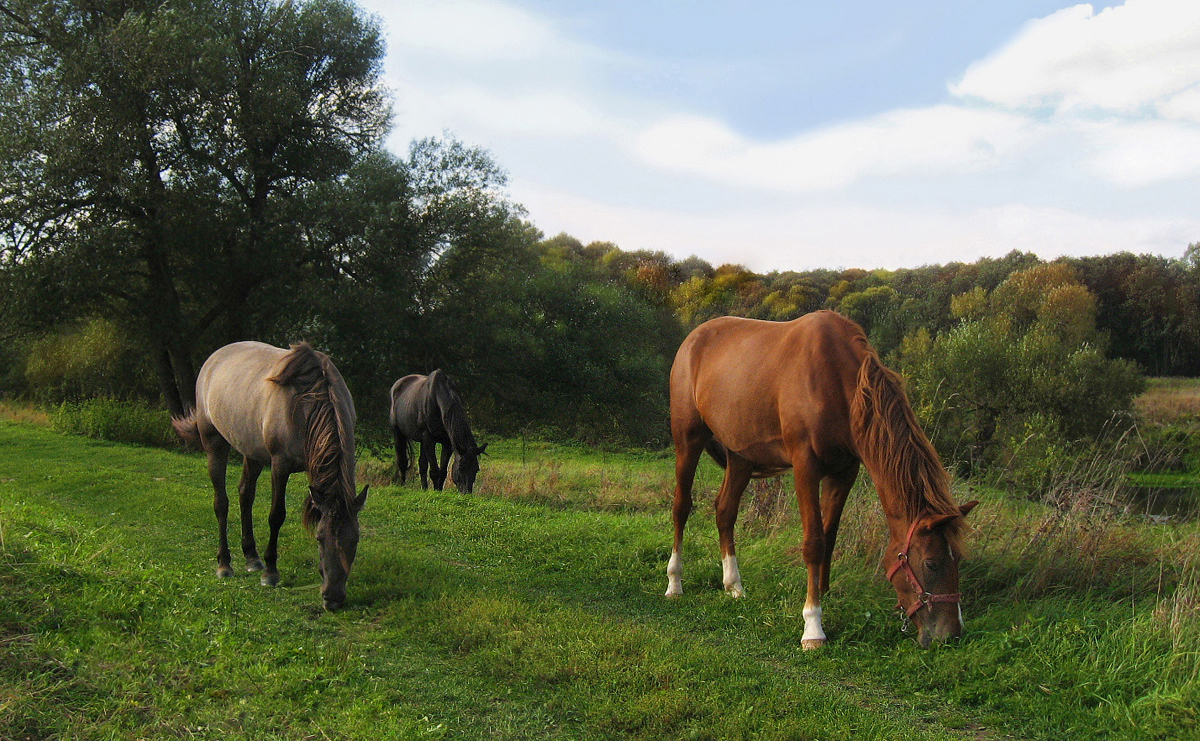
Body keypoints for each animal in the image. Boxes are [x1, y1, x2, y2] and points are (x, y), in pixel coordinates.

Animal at [174, 340, 367, 606]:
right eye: (319, 538)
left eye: (355, 540)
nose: (333, 598)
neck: (305, 404)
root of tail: (214, 358)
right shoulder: (280, 465)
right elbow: (276, 515)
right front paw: (271, 572)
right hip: (214, 442)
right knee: (221, 503)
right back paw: (225, 565)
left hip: (252, 451)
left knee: (245, 494)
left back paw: (251, 557)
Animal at [667, 311, 974, 647]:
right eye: (931, 563)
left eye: (958, 559)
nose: (951, 633)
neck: (838, 383)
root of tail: (694, 338)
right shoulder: (805, 467)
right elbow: (814, 542)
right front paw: (813, 626)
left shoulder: (844, 472)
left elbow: (829, 536)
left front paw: (822, 594)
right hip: (688, 439)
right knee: (682, 508)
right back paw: (674, 583)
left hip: (740, 455)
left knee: (725, 512)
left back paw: (733, 585)